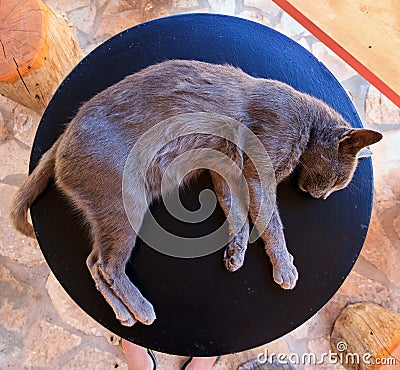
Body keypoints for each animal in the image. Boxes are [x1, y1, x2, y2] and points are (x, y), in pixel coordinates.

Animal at [10, 60, 382, 326]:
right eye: (336, 181)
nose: (322, 198)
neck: (305, 123)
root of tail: (63, 137)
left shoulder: (225, 171)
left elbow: (237, 211)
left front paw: (236, 253)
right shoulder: (257, 171)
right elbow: (270, 222)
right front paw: (285, 268)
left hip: (107, 214)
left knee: (93, 263)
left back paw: (124, 314)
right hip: (125, 203)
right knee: (109, 267)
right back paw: (142, 309)